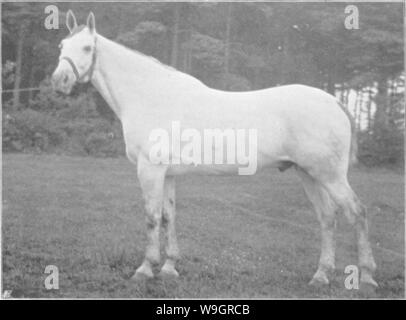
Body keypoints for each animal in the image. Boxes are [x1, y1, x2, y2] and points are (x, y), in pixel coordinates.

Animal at [51, 11, 378, 288]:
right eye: (62, 44)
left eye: (87, 48)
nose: (59, 81)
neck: (151, 95)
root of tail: (334, 102)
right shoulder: (167, 173)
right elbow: (169, 216)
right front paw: (169, 268)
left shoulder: (150, 170)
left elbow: (151, 217)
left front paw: (145, 269)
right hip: (308, 173)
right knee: (327, 217)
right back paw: (321, 275)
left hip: (329, 175)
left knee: (357, 212)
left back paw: (367, 278)